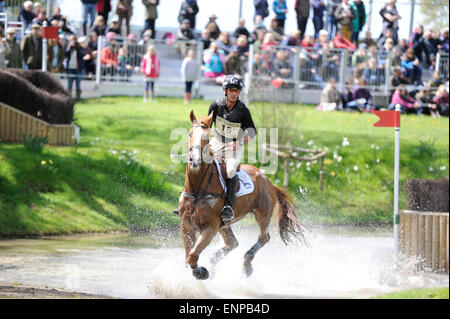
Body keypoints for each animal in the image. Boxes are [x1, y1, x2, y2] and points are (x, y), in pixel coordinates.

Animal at [178, 110, 304, 280]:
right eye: (190, 134)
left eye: (206, 137)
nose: (195, 160)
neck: (197, 190)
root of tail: (268, 181)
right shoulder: (186, 225)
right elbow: (188, 256)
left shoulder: (210, 226)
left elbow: (192, 256)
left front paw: (200, 272)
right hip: (224, 224)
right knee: (233, 243)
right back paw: (215, 261)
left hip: (262, 214)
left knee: (263, 237)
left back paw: (246, 264)